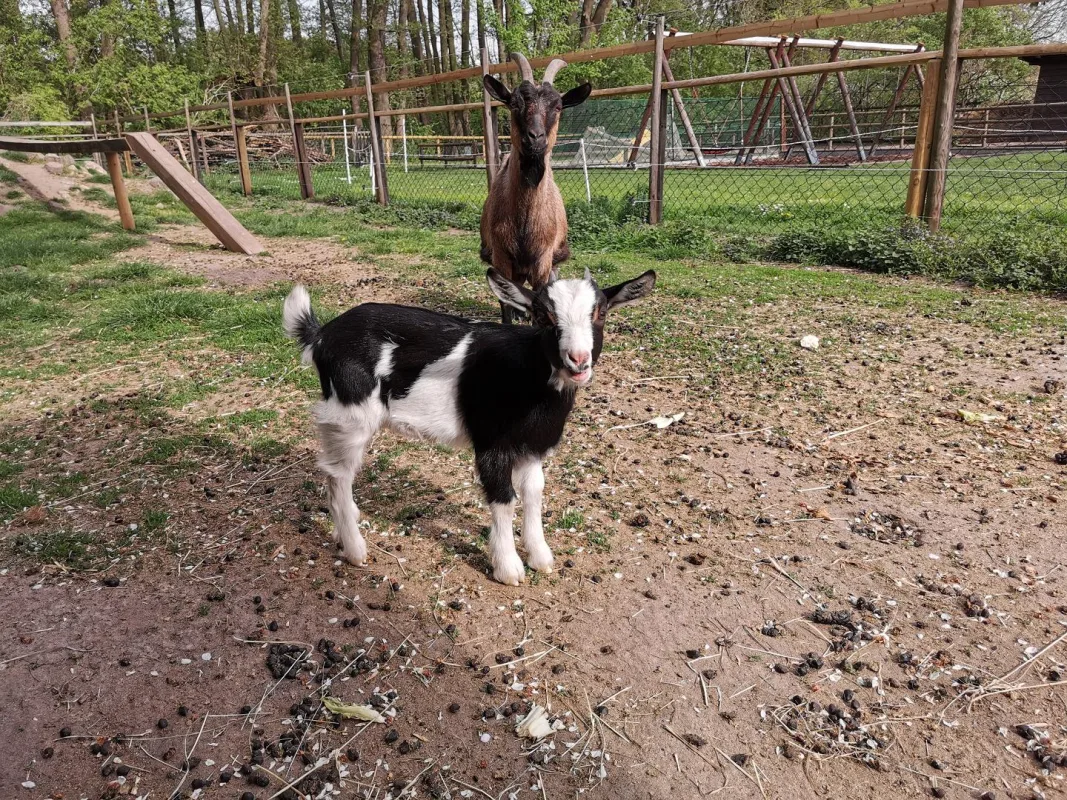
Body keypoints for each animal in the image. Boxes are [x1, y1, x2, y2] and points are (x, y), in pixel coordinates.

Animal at [282, 268, 655, 585]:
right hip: (351, 413)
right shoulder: (492, 442)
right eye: (543, 316)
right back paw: (355, 548)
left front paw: (540, 556)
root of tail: (321, 335)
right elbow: (504, 498)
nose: (577, 360)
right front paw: (508, 568)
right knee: (337, 474)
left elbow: (534, 493)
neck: (528, 374)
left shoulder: (533, 446)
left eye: (601, 314)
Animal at [480, 53, 592, 324]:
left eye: (558, 107)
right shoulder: (500, 256)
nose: (536, 138)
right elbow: (504, 303)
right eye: (514, 103)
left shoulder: (543, 259)